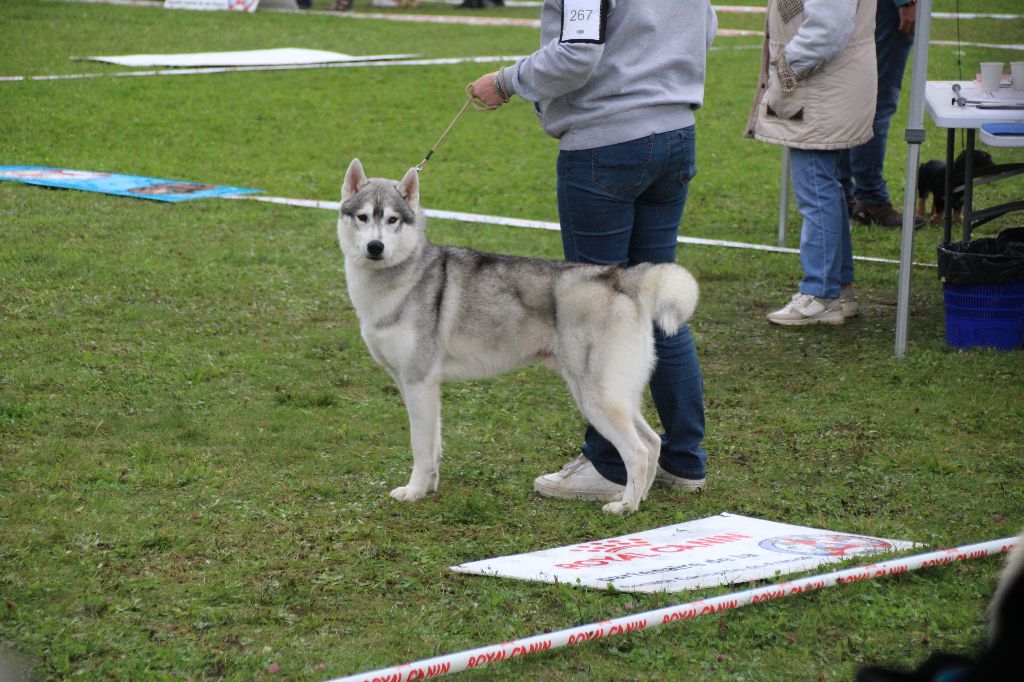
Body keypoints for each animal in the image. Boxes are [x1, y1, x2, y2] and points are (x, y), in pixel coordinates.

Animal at [339, 157, 700, 509]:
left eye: (392, 220)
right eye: (362, 217)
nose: (375, 246)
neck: (399, 279)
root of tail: (618, 277)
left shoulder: (418, 383)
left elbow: (421, 448)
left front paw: (413, 492)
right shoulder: (418, 385)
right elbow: (434, 447)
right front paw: (429, 488)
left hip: (595, 397)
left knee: (637, 452)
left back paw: (624, 507)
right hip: (618, 393)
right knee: (653, 443)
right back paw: (638, 499)